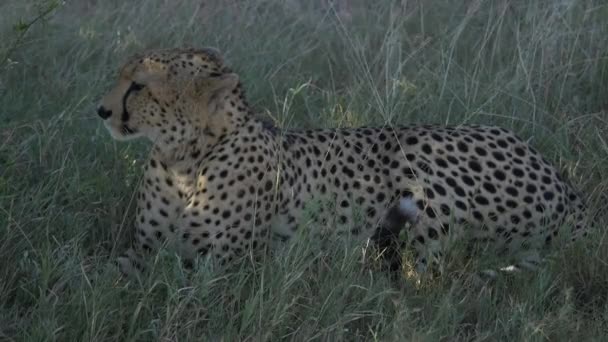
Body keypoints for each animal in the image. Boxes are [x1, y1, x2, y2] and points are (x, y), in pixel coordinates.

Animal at [96, 48, 588, 276]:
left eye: (138, 86)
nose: (101, 110)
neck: (185, 159)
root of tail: (566, 185)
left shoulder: (222, 263)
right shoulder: (143, 247)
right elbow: (105, 272)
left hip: (426, 165)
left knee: (426, 275)